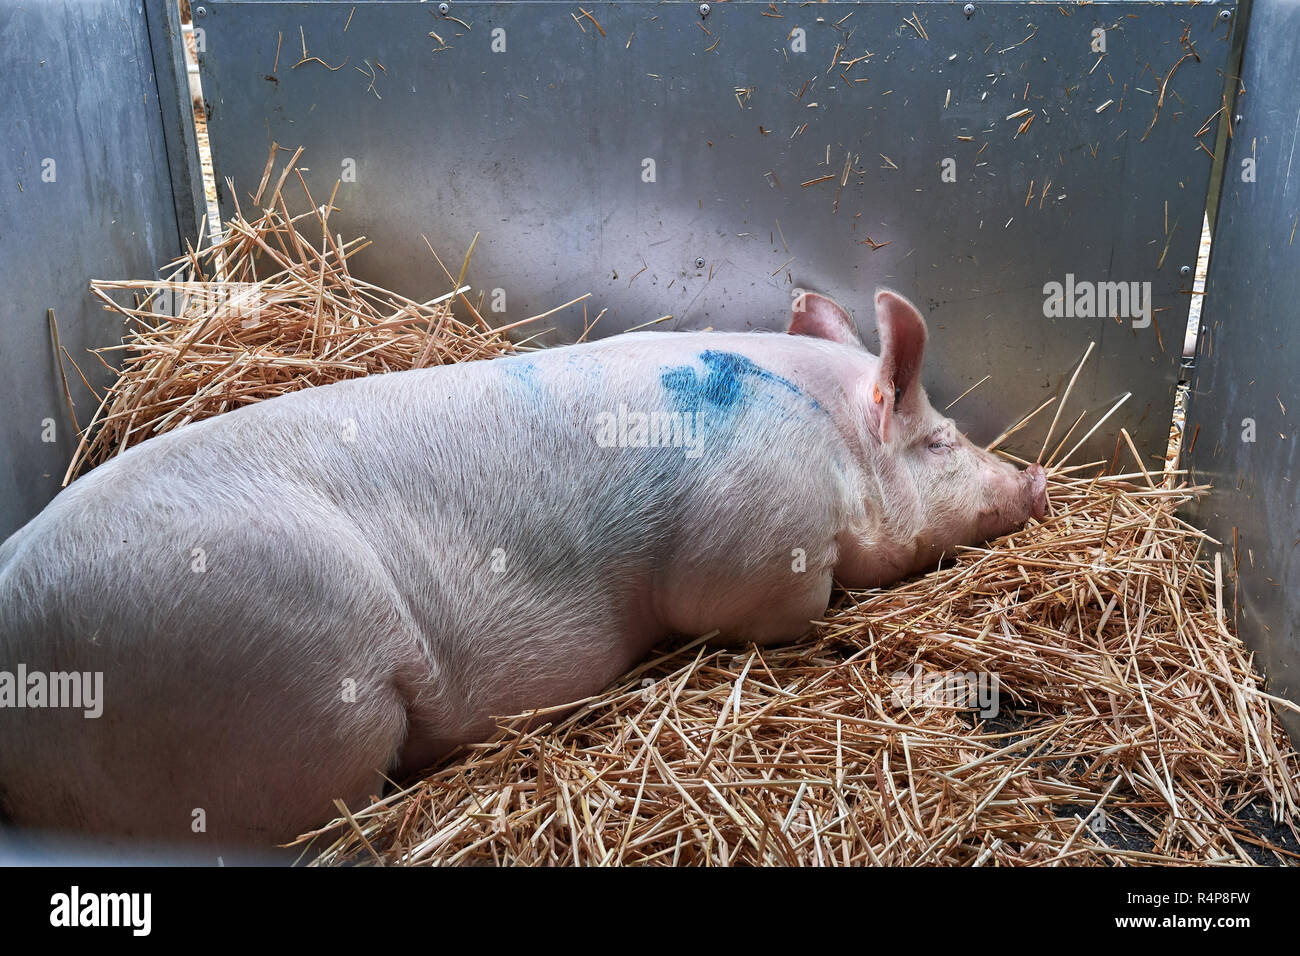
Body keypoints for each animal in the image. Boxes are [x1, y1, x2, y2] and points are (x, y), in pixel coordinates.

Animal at [0, 287, 1040, 848]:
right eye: (942, 441)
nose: (1033, 480)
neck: (828, 442)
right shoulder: (751, 555)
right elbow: (775, 608)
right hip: (298, 694)